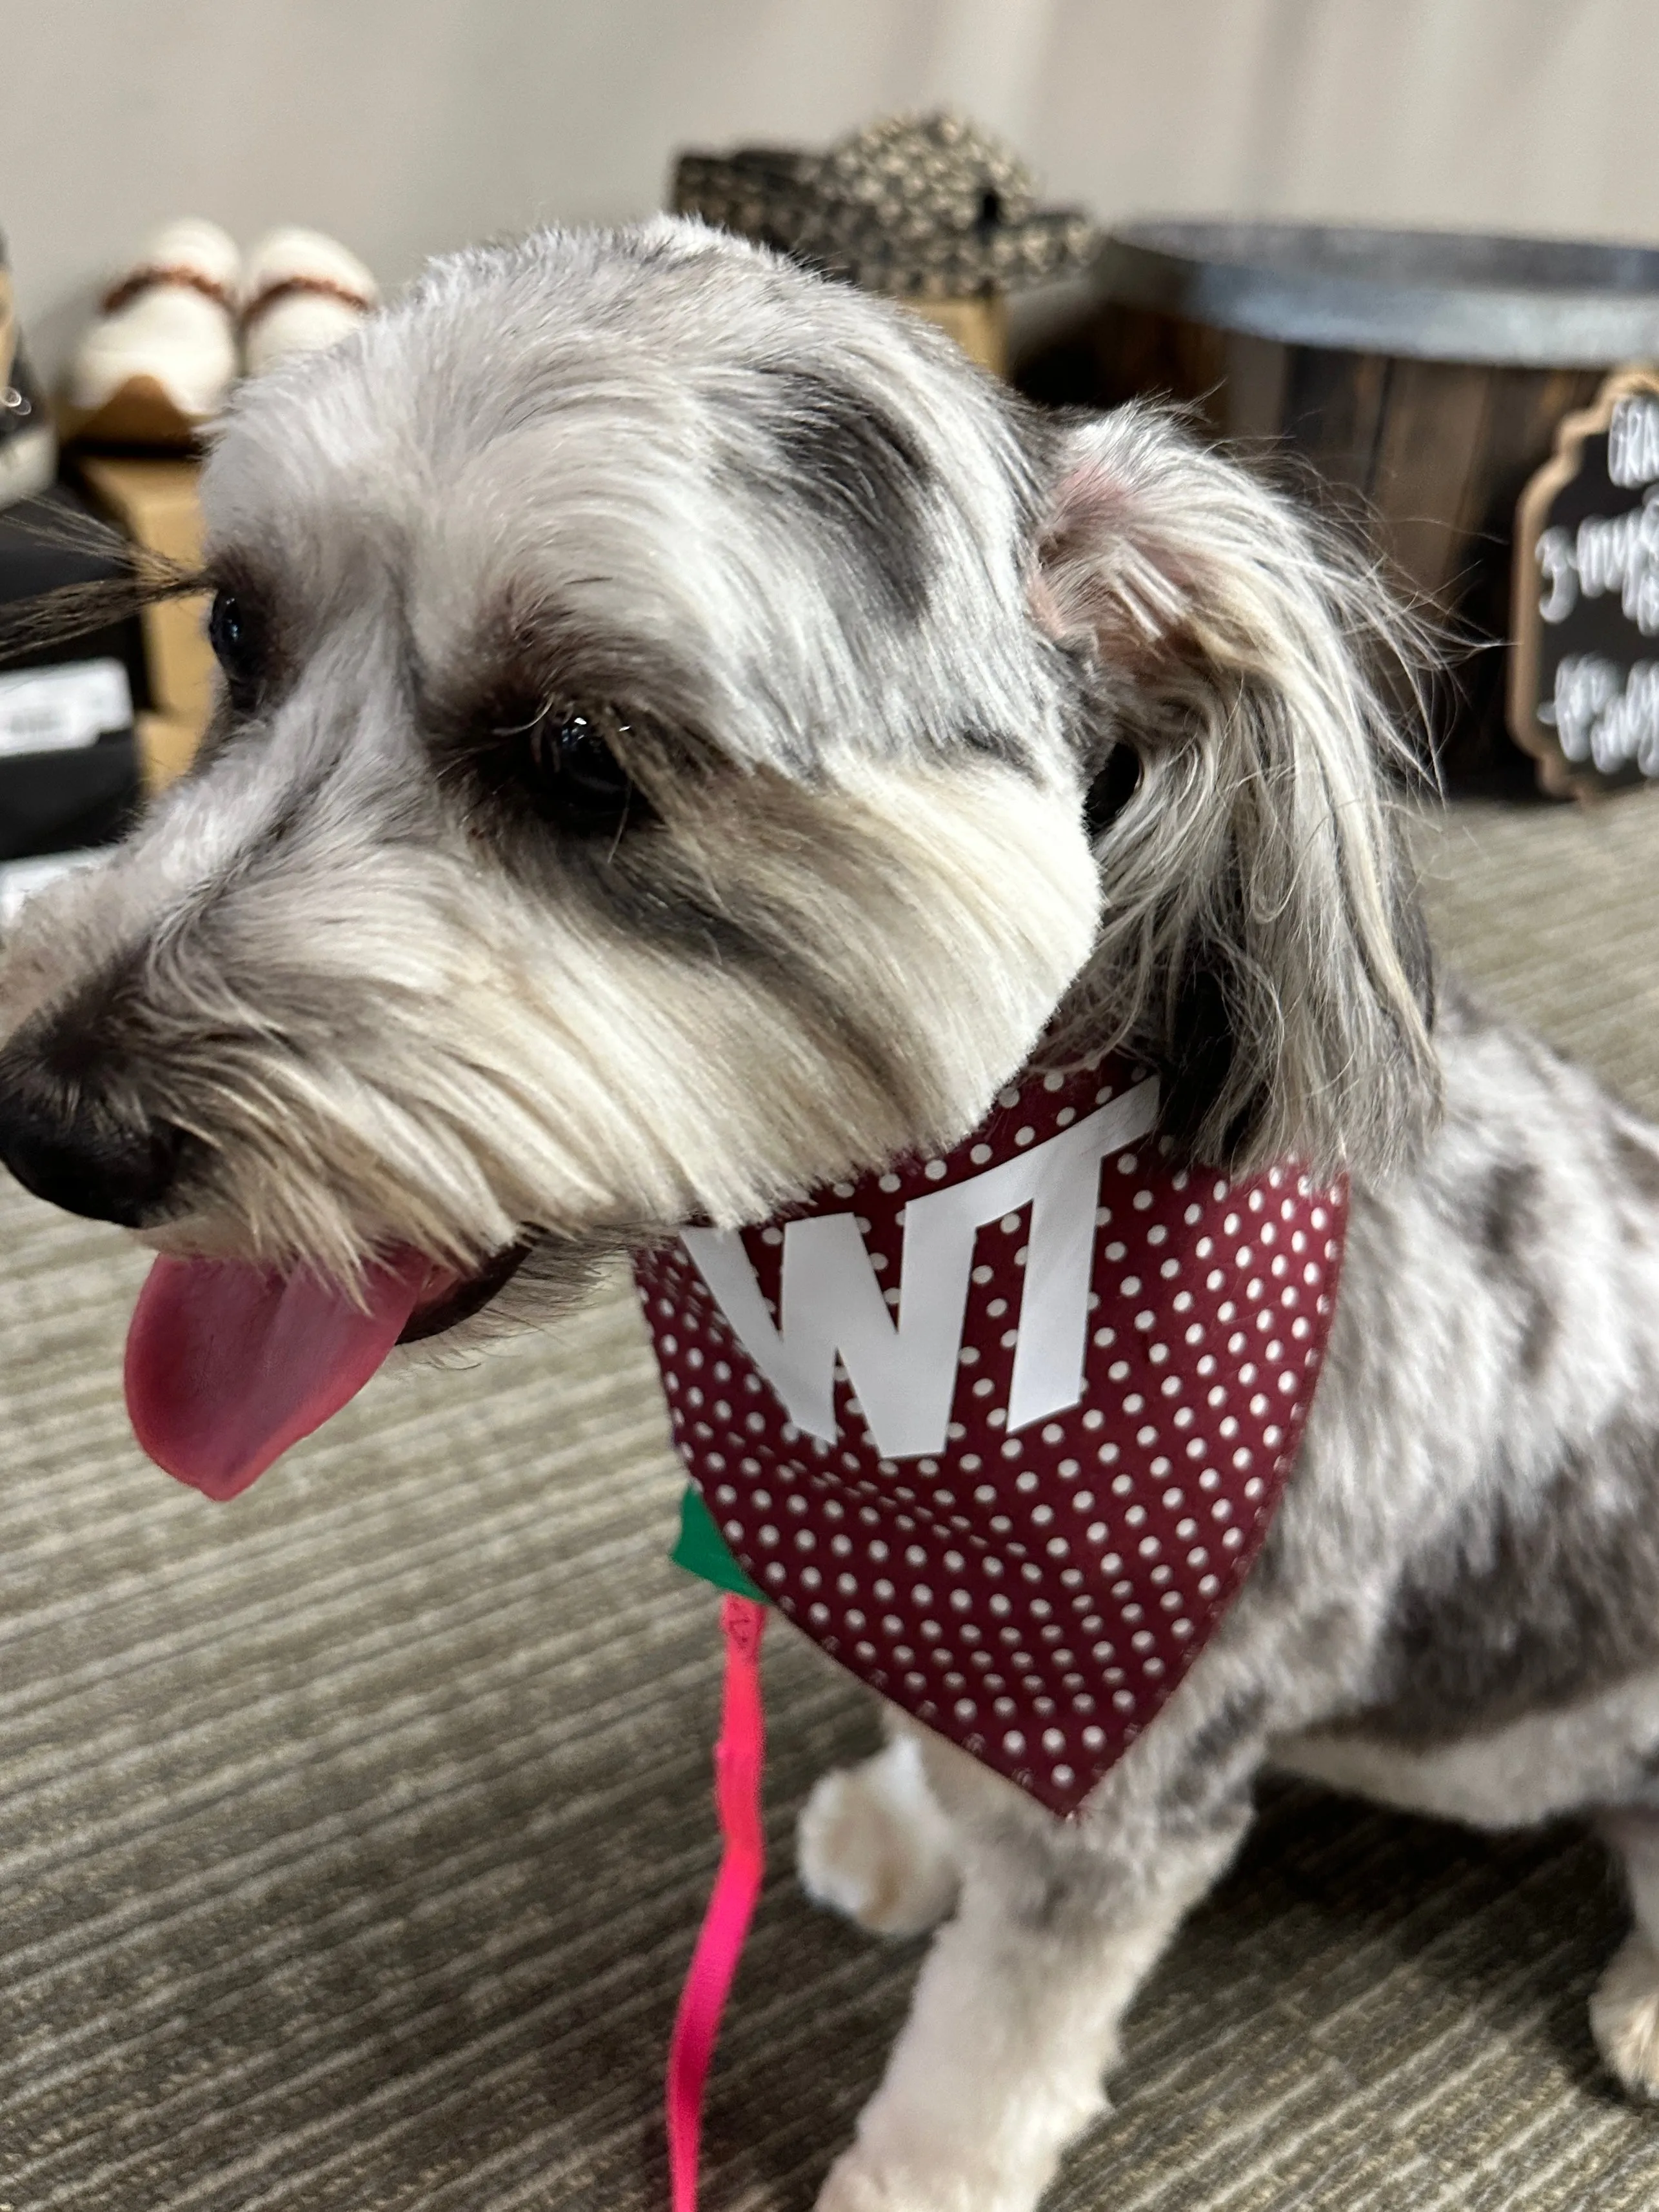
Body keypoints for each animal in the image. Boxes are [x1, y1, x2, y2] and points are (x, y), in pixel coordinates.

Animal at [3, 211, 1659, 2212]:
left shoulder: (1134, 1778)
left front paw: (918, 2168)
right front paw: (903, 1819)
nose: (43, 1122)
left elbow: (993, 2045)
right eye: (239, 629)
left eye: (580, 752)